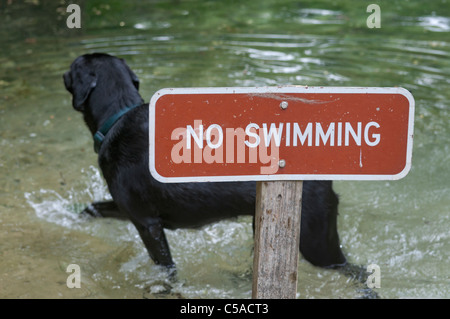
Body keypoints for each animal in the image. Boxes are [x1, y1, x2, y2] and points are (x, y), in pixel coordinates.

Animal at [62, 53, 344, 272]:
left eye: (73, 67)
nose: (63, 73)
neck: (117, 117)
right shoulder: (129, 210)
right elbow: (92, 208)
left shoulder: (147, 224)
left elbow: (166, 268)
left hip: (315, 241)